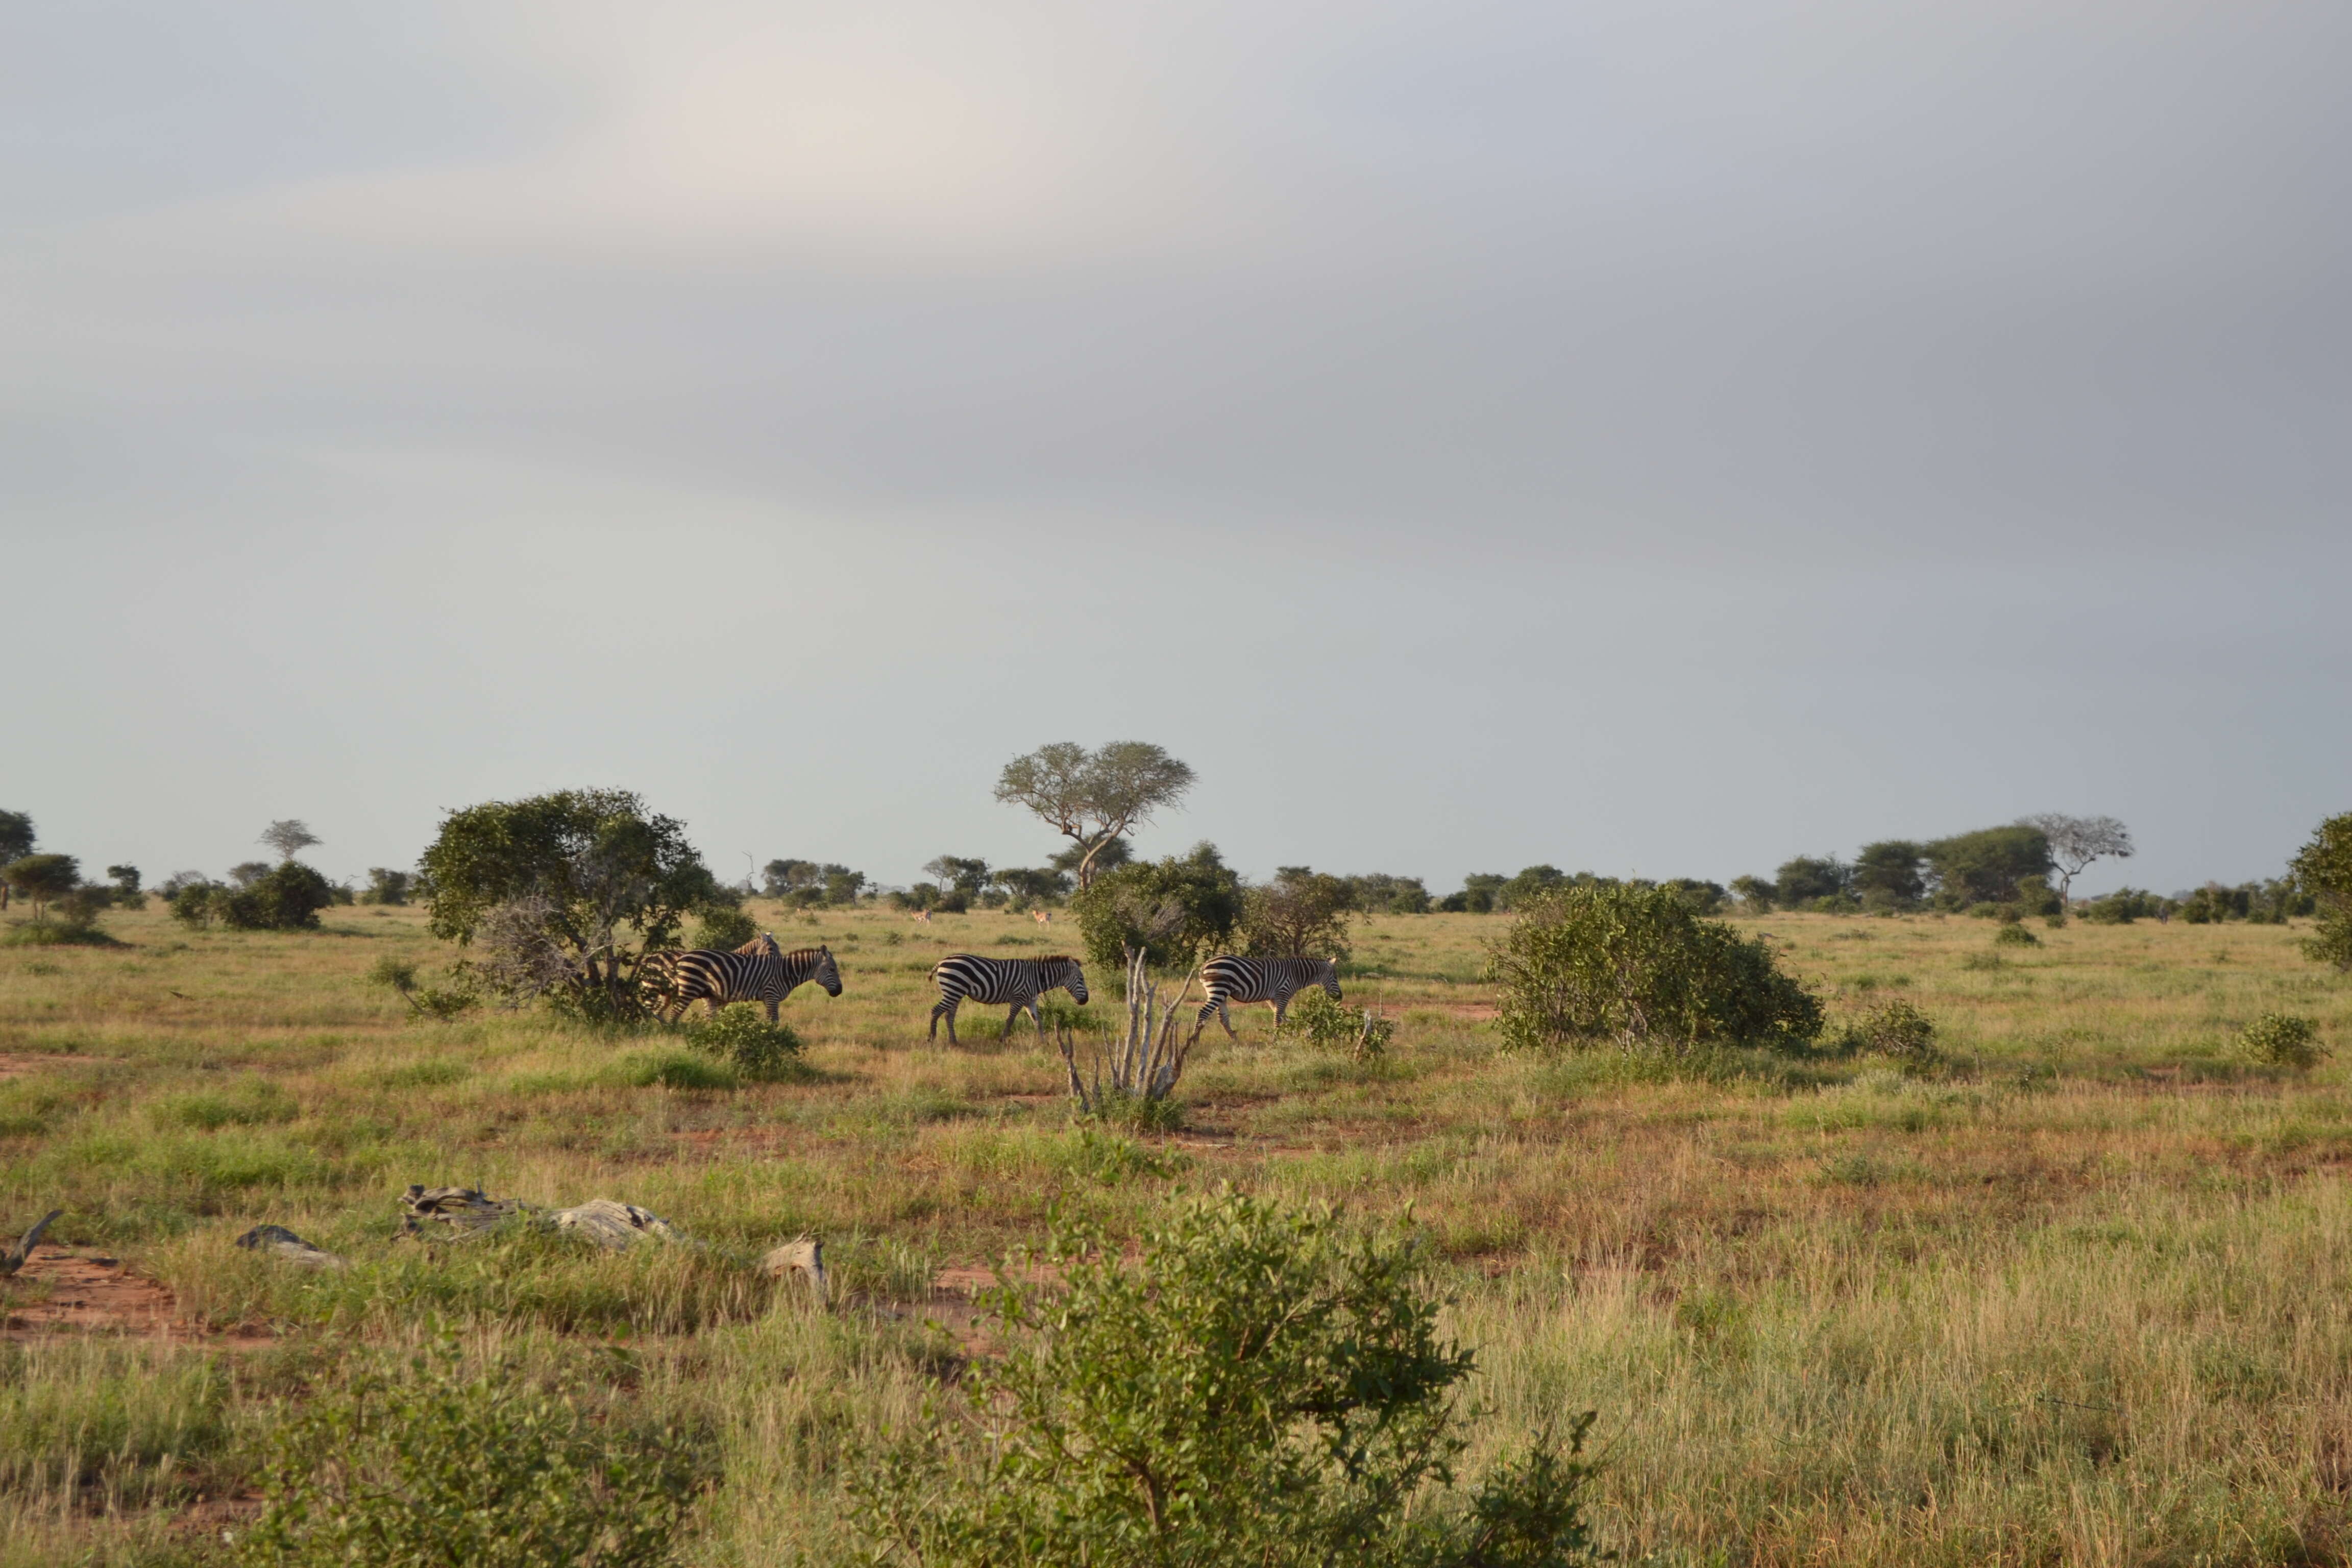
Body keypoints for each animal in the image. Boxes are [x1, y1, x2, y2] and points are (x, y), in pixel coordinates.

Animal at [644, 940, 846, 1025]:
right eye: (832, 970)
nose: (840, 991)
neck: (786, 972)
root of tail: (681, 958)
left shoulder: (767, 998)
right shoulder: (771, 995)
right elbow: (774, 1021)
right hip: (689, 988)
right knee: (673, 1014)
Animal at [931, 949, 1086, 1048]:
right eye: (1081, 979)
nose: (1085, 1001)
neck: (1037, 977)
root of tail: (941, 962)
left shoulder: (1030, 1001)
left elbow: (1038, 1022)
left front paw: (1045, 1043)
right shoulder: (1018, 998)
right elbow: (1010, 1020)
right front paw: (1003, 1041)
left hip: (955, 992)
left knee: (949, 1016)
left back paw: (954, 1042)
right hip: (953, 990)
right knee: (936, 1011)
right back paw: (931, 1039)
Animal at [1194, 959, 1345, 1043]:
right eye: (1335, 977)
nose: (1340, 997)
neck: (1296, 974)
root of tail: (1204, 966)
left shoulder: (1274, 998)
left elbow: (1285, 1018)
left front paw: (1300, 1033)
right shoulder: (1283, 994)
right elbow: (1278, 1019)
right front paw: (1275, 1040)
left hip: (1222, 994)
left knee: (1223, 1018)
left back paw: (1236, 1041)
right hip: (1218, 990)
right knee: (1203, 1013)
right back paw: (1195, 1041)